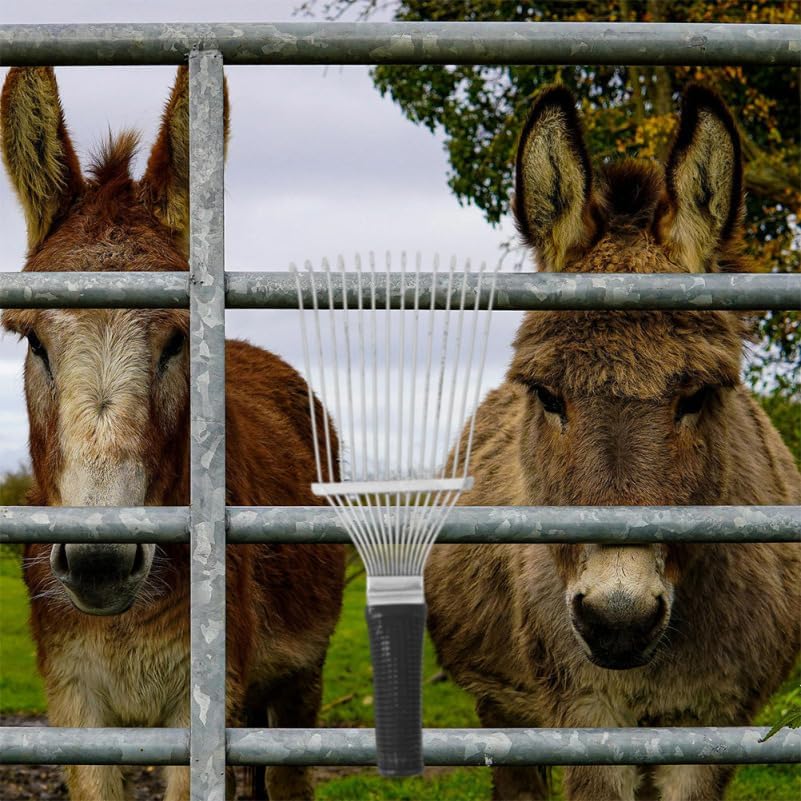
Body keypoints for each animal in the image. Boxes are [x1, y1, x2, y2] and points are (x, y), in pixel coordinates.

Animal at [1, 66, 344, 801]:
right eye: (34, 342)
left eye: (177, 341)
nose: (100, 562)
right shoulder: (74, 703)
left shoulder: (201, 702)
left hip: (298, 680)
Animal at [425, 85, 801, 801]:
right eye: (547, 396)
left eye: (697, 397)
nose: (618, 622)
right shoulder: (585, 717)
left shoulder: (712, 722)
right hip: (504, 710)